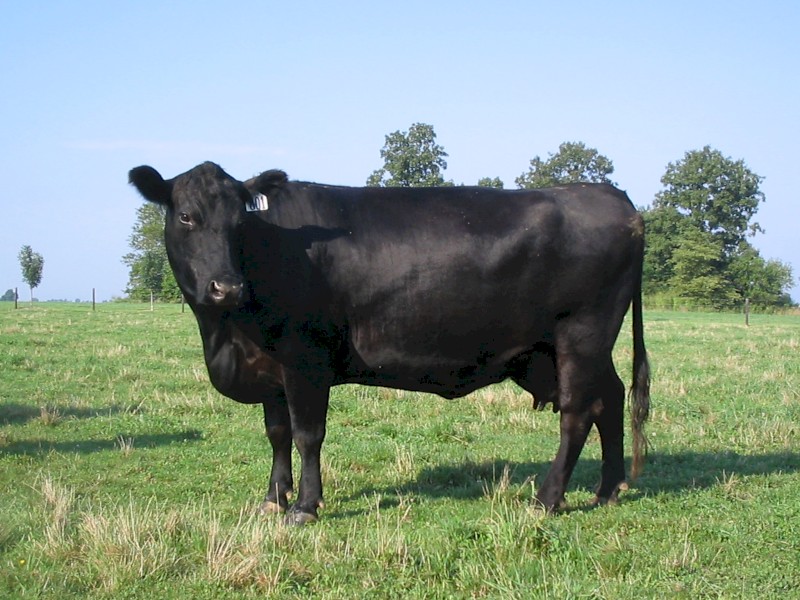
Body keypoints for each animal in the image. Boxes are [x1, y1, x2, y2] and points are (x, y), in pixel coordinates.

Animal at [128, 161, 650, 525]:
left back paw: (547, 498)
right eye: (187, 216)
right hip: (572, 349)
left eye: (240, 223)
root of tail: (609, 194)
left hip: (581, 334)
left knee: (577, 413)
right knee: (610, 398)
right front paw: (273, 499)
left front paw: (305, 506)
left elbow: (307, 434)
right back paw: (608, 489)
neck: (228, 335)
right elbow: (277, 435)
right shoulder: (270, 367)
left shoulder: (304, 358)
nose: (226, 286)